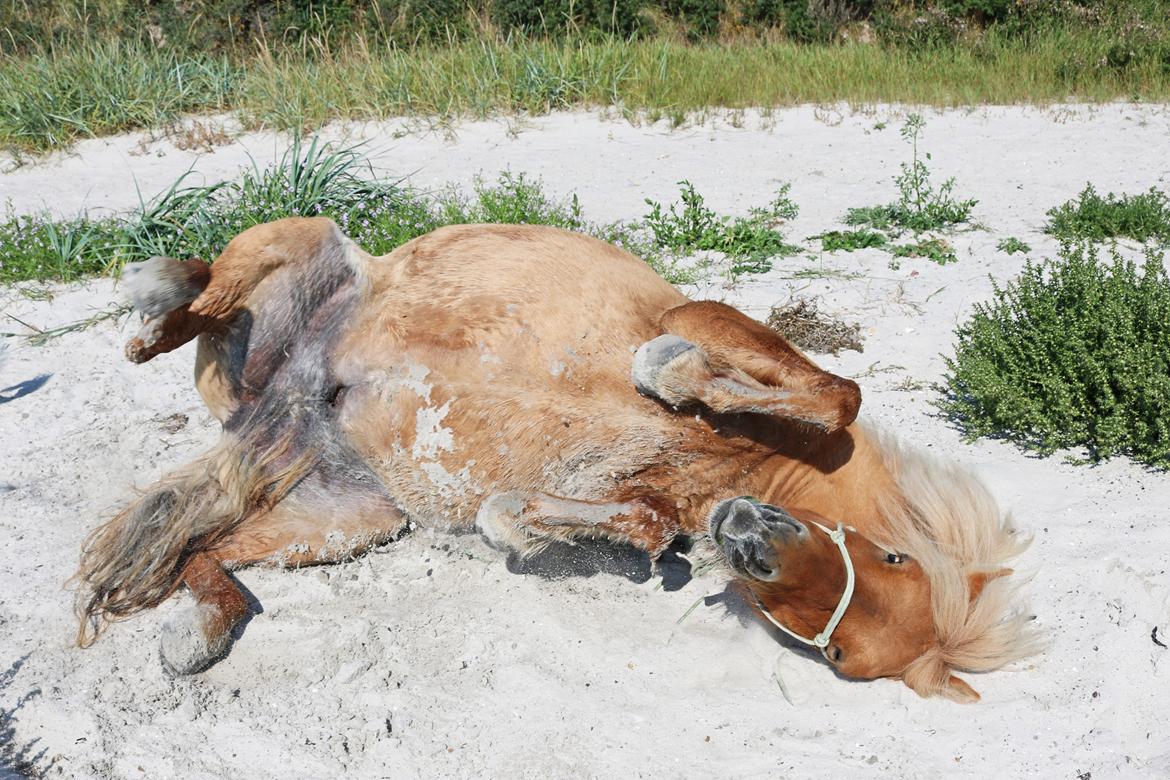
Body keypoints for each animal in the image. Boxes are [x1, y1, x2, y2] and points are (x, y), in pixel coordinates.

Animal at [77, 218, 1038, 701]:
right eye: (894, 556)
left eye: (837, 659)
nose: (749, 542)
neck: (743, 470)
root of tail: (292, 400)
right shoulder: (704, 317)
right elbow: (836, 391)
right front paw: (670, 372)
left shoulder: (641, 494)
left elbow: (610, 521)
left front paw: (556, 535)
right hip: (292, 243)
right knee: (196, 295)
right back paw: (151, 302)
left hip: (351, 518)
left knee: (204, 553)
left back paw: (196, 634)